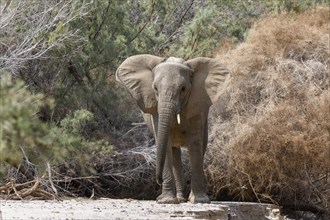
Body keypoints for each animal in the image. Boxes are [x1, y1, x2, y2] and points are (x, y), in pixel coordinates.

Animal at [115, 54, 229, 204]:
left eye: (183, 89)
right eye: (155, 89)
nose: (158, 181)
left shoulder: (198, 106)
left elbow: (195, 144)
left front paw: (200, 200)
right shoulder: (156, 111)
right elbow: (166, 143)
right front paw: (167, 201)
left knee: (201, 146)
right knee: (174, 153)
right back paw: (179, 199)